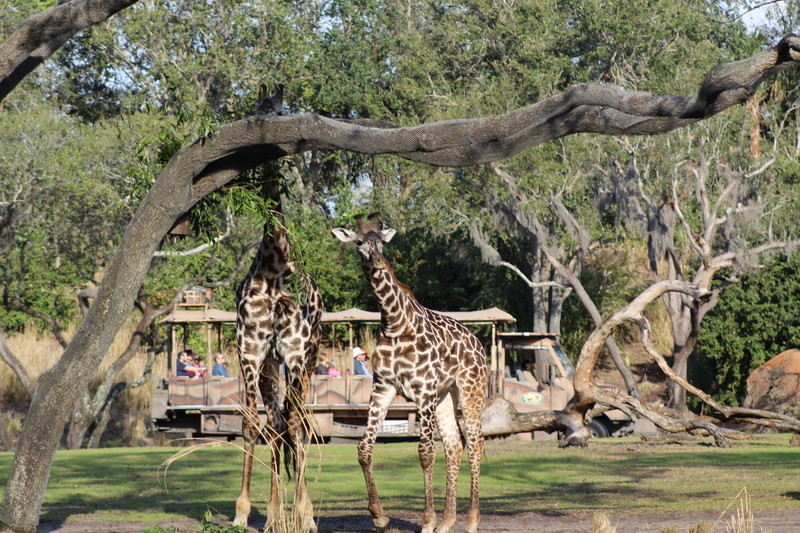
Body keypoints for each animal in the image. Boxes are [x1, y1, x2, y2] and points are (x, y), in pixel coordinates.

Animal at [233, 197, 324, 528]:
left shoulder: (295, 351)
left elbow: (297, 426)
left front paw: (305, 514)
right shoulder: (250, 351)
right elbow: (251, 424)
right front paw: (241, 513)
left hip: (308, 361)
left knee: (297, 424)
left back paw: (300, 513)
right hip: (270, 366)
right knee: (275, 425)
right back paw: (274, 516)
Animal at [332, 212, 488, 532]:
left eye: (382, 241)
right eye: (358, 242)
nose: (377, 261)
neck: (394, 323)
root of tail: (479, 344)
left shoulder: (423, 391)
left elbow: (425, 453)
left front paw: (426, 521)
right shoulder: (383, 387)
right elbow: (364, 449)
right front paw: (379, 516)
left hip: (469, 392)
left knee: (475, 444)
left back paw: (471, 521)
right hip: (445, 397)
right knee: (454, 446)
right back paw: (447, 521)